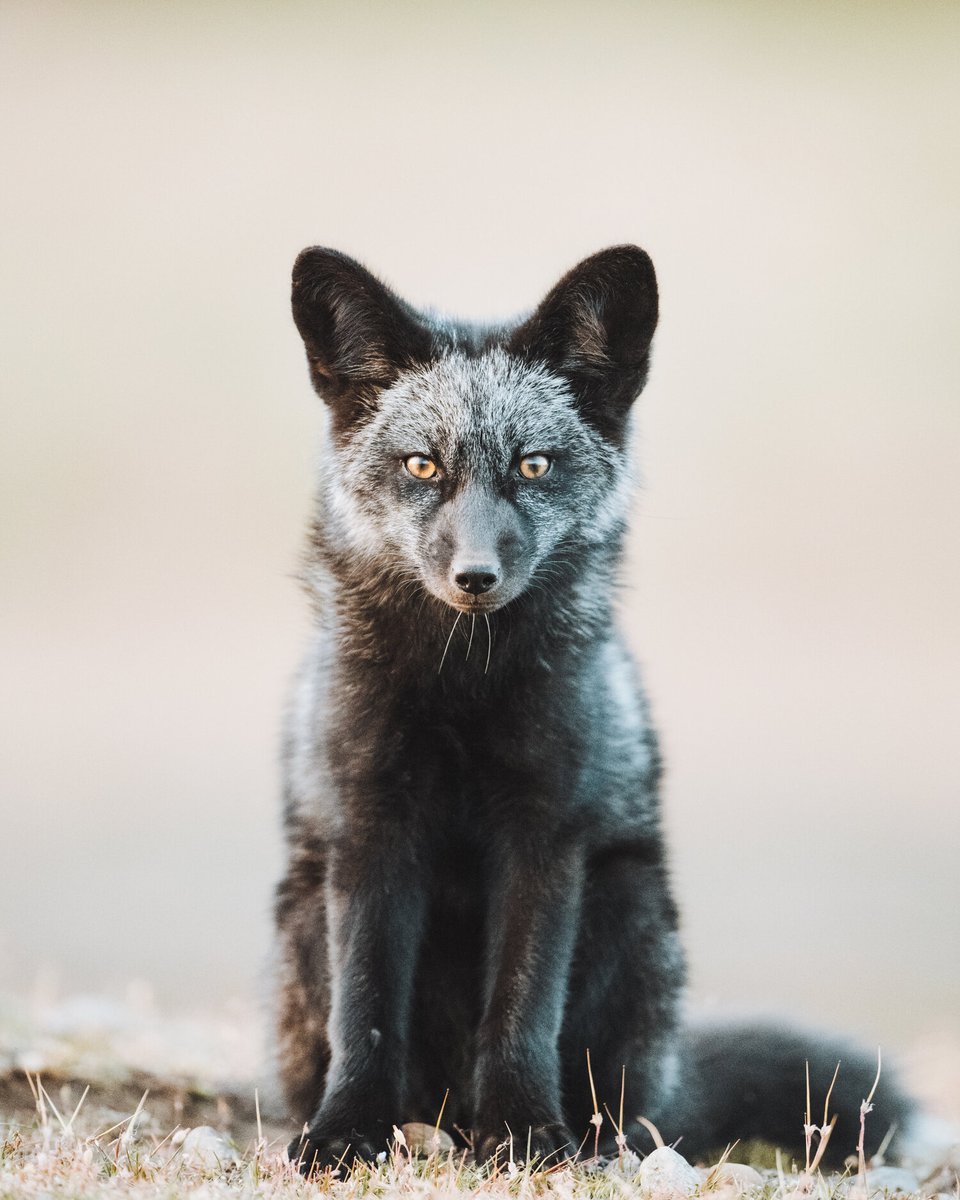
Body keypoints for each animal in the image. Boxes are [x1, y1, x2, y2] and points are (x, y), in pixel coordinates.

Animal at [274, 245, 912, 1174]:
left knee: (637, 1110)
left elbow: (523, 1006)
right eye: (423, 465)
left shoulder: (548, 837)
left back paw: (579, 1136)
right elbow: (366, 1010)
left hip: (628, 906)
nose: (475, 578)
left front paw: (524, 1131)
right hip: (300, 919)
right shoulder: (370, 830)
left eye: (533, 465)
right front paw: (346, 1132)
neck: (465, 692)